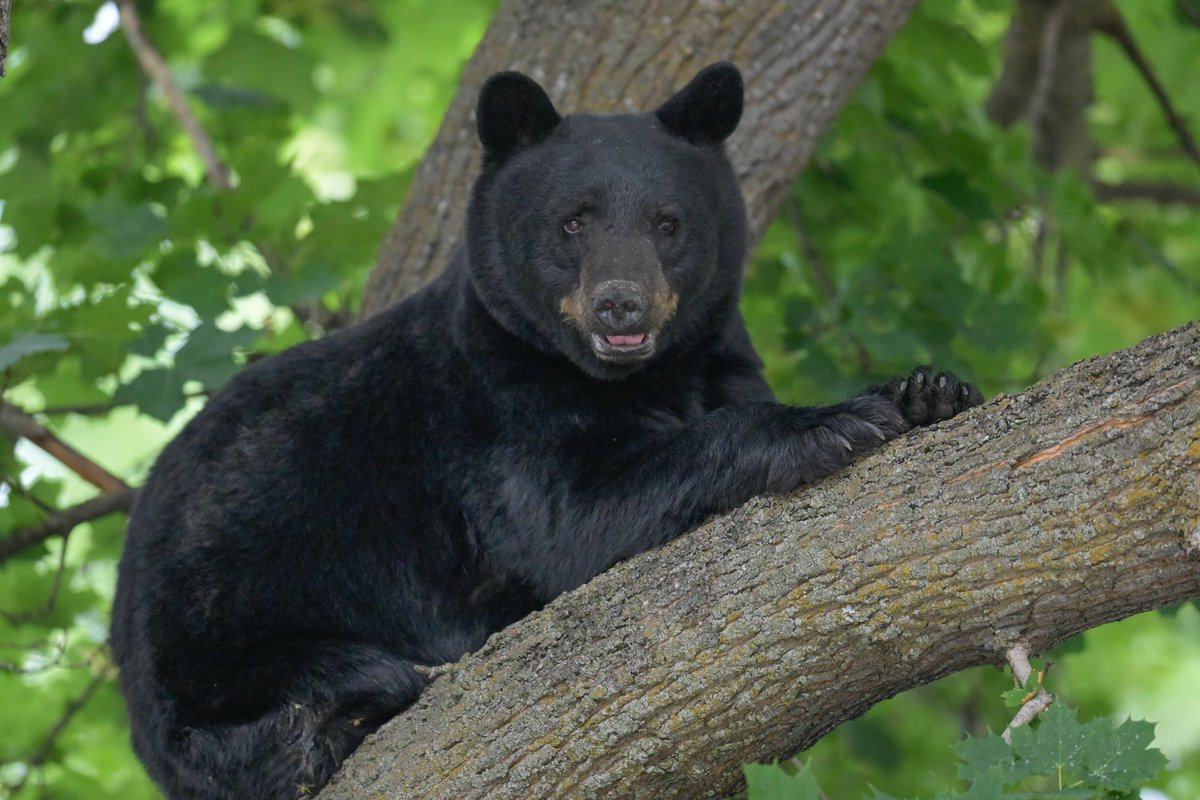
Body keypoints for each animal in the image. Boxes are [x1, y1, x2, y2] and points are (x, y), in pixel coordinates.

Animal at [110, 62, 983, 800]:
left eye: (668, 222)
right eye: (573, 222)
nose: (620, 304)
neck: (638, 374)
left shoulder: (717, 360)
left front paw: (925, 391)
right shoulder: (491, 415)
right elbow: (574, 517)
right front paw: (828, 423)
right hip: (220, 611)